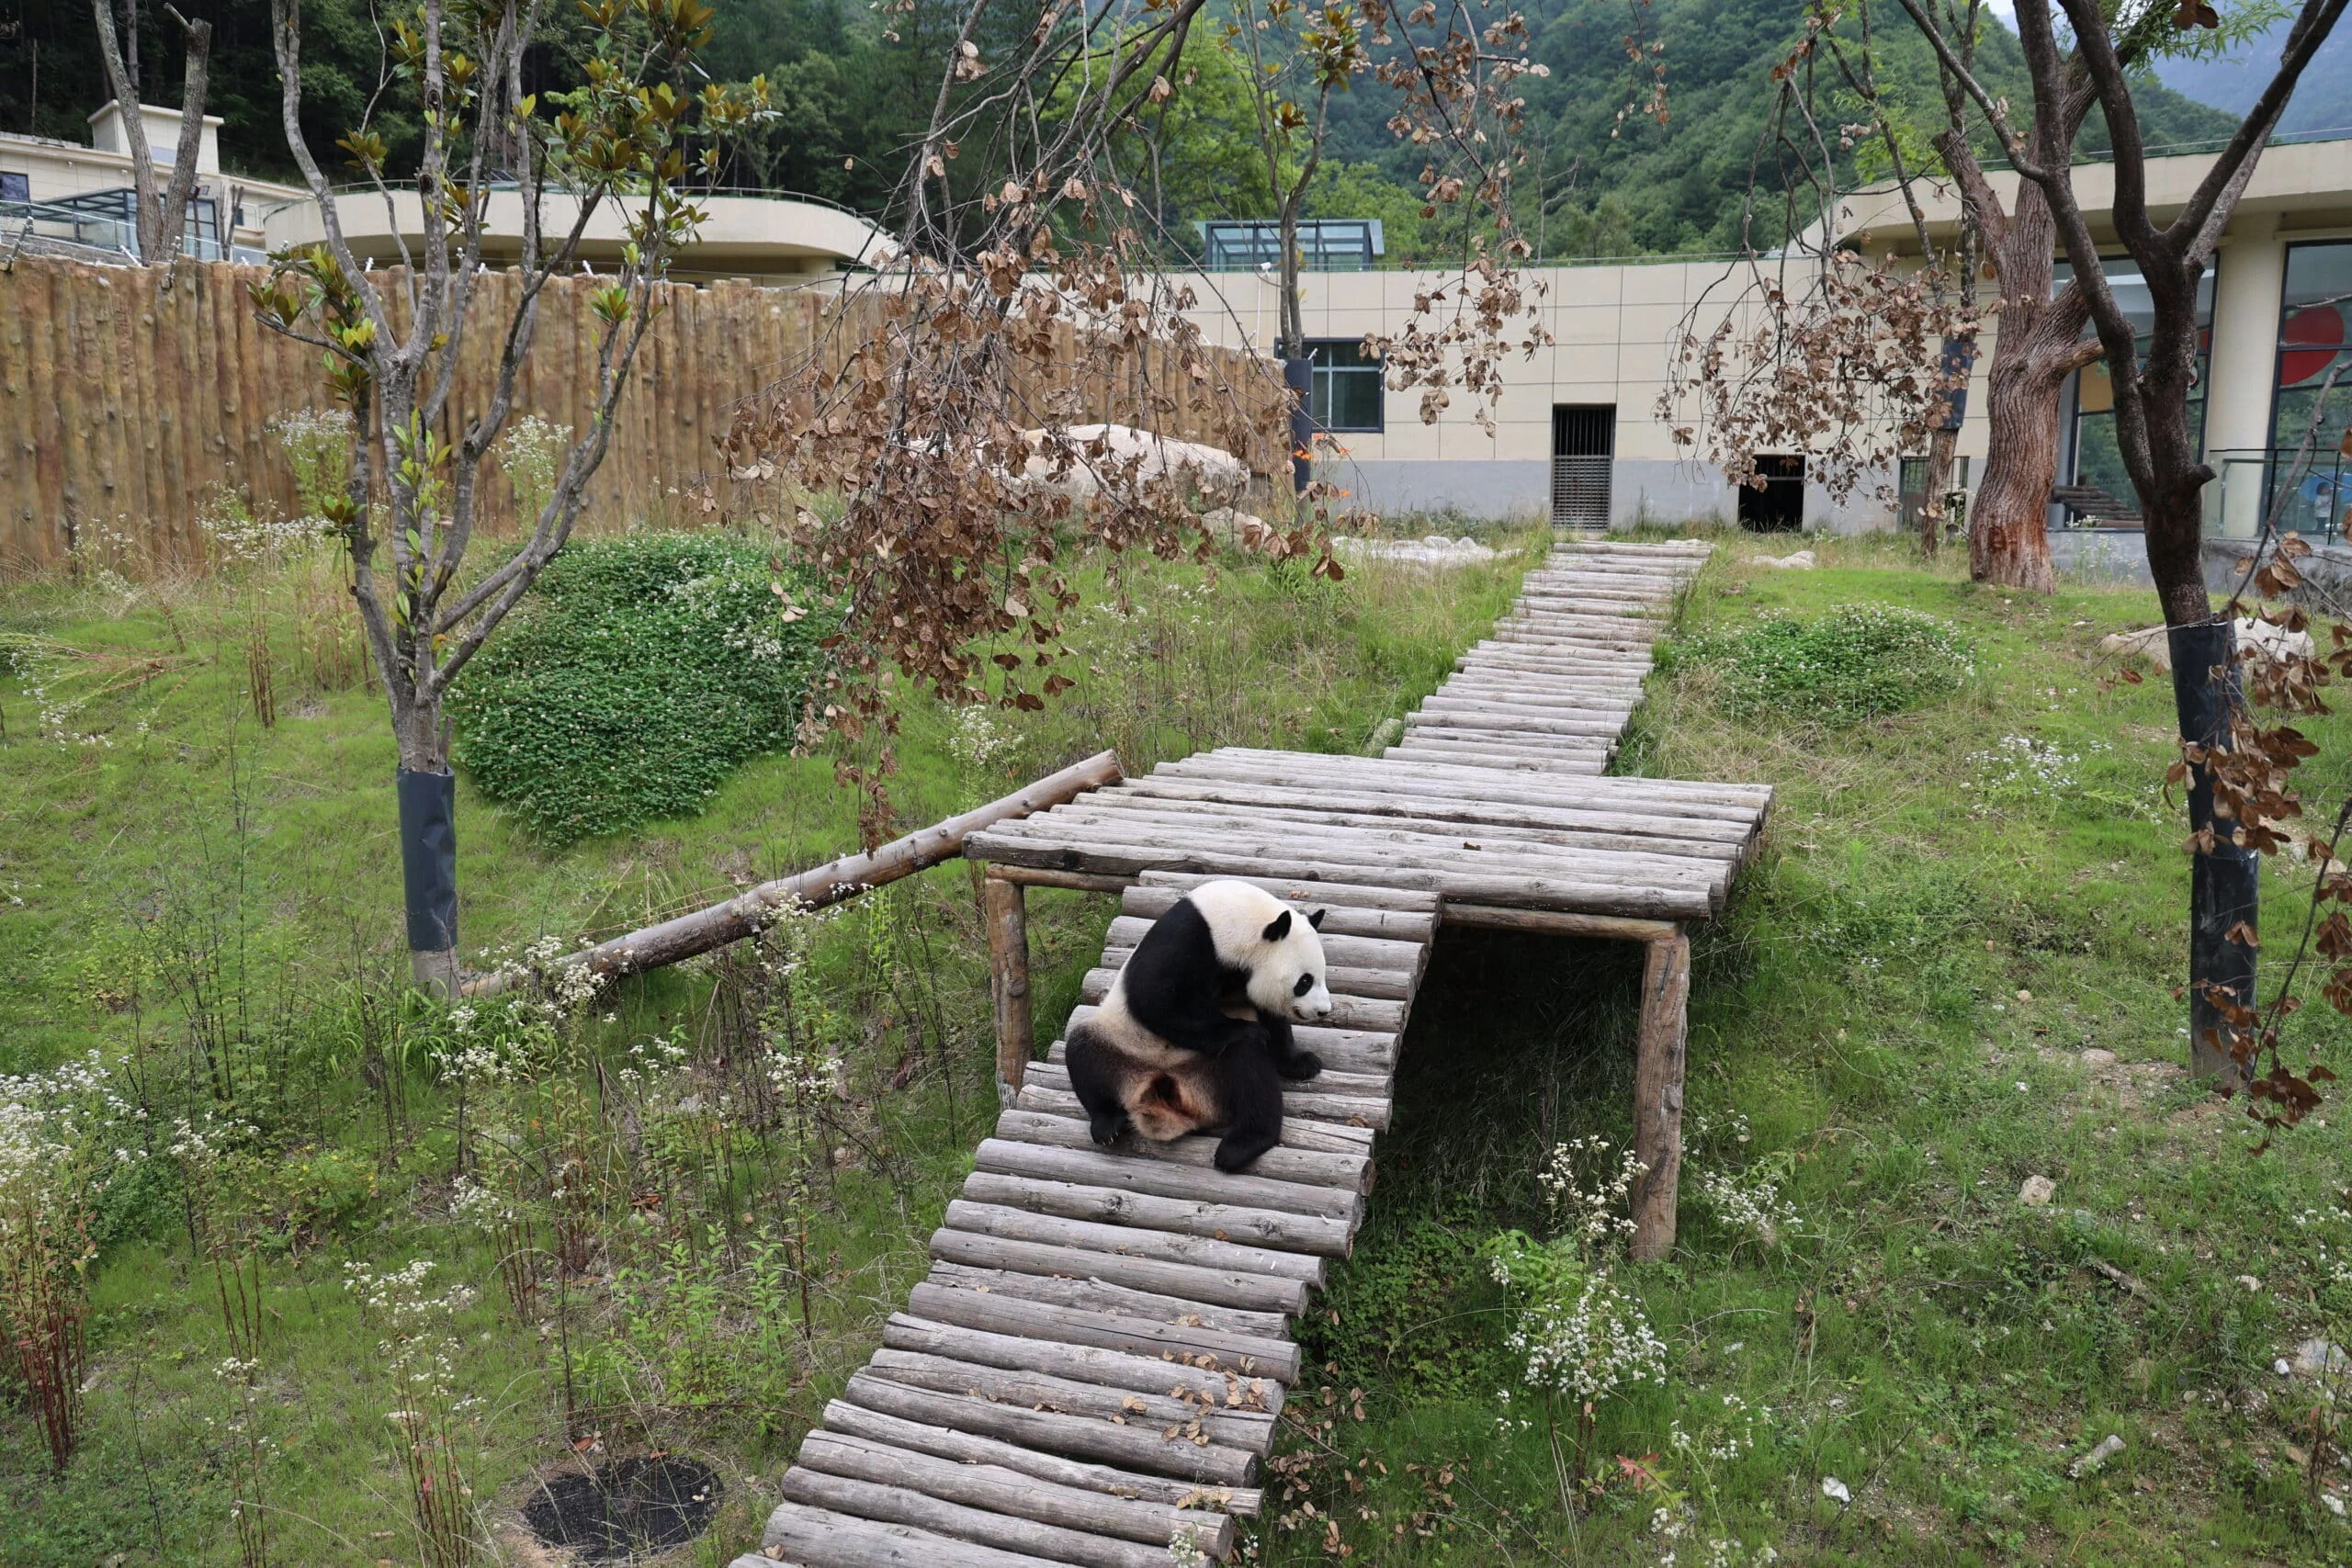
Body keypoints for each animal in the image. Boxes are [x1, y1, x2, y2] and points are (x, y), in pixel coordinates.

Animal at [1064, 880, 1333, 1173]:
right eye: (1305, 981)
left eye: (1321, 976)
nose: (1323, 1010)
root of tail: (1166, 1085)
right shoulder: (1188, 939)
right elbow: (1155, 999)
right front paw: (1246, 1029)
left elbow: (1272, 1019)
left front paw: (1301, 1062)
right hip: (1121, 1039)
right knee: (1082, 1050)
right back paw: (1107, 1123)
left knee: (1250, 1072)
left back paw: (1240, 1145)